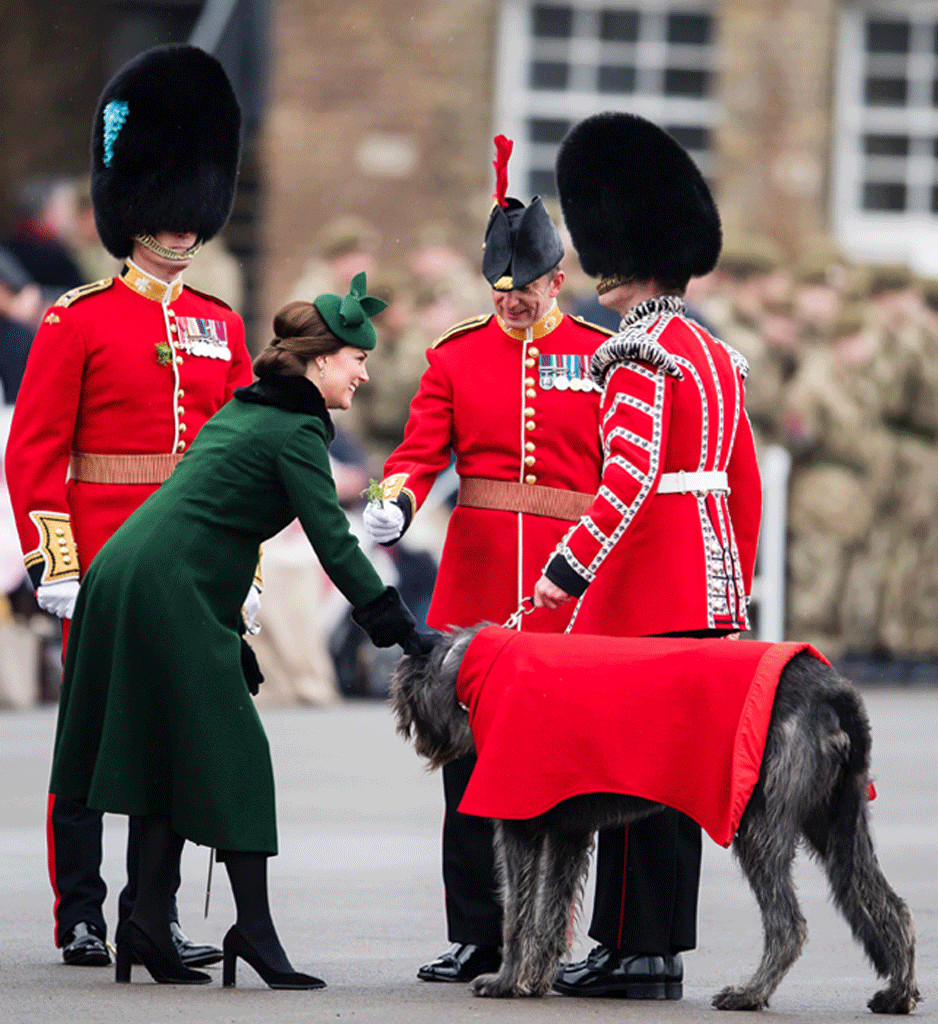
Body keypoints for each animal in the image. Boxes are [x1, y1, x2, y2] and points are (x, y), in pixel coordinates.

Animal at [391, 626, 921, 1011]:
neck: (476, 665)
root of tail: (833, 690)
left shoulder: (517, 823)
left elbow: (518, 915)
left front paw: (506, 980)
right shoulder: (566, 832)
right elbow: (551, 913)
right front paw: (535, 979)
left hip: (760, 828)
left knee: (788, 924)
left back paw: (750, 994)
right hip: (837, 826)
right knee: (889, 904)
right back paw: (898, 992)